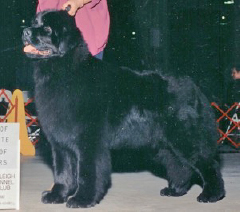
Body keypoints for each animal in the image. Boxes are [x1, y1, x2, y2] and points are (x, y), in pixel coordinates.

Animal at [22, 10, 225, 208]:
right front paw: (57, 195)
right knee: (179, 166)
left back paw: (211, 195)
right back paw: (175, 190)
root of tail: (194, 87)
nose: (25, 31)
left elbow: (87, 173)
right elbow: (63, 172)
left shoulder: (88, 141)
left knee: (208, 164)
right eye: (34, 23)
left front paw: (82, 199)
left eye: (47, 29)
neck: (64, 71)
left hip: (185, 137)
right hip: (165, 144)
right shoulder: (61, 143)